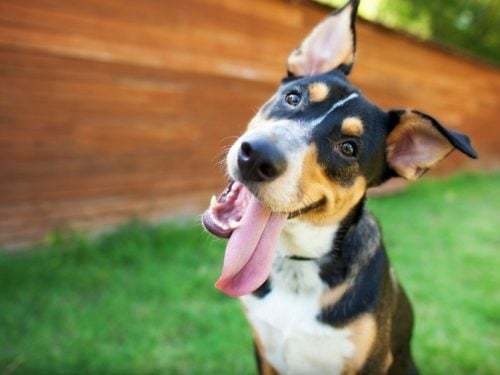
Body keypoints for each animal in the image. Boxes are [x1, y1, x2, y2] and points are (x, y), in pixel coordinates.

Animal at [200, 1, 476, 374]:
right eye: (293, 97)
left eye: (348, 147)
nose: (256, 156)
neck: (300, 266)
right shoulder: (263, 350)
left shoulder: (370, 362)